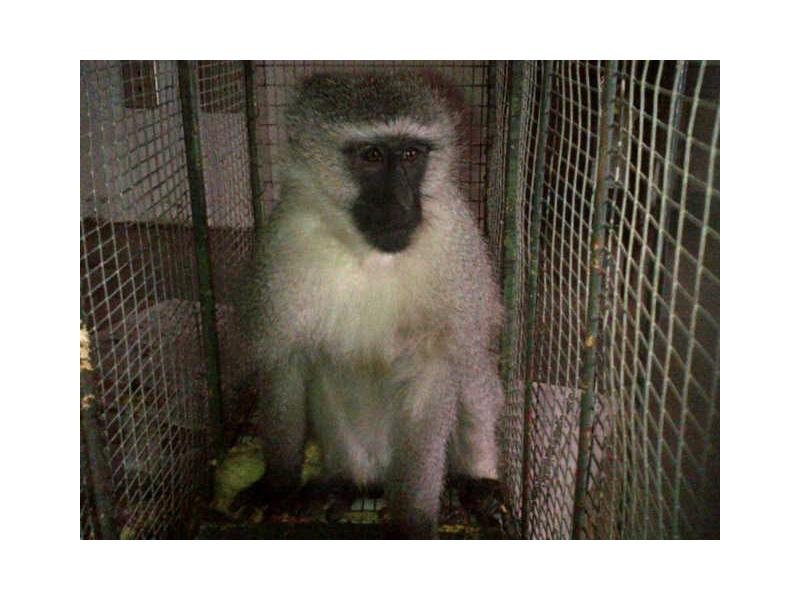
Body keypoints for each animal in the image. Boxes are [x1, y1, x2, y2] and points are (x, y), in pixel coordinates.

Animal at [237, 72, 505, 538]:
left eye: (412, 154)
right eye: (372, 155)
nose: (401, 204)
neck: (370, 254)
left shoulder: (455, 244)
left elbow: (435, 375)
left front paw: (412, 522)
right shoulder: (286, 241)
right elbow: (286, 362)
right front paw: (276, 484)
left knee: (470, 364)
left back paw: (474, 480)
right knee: (323, 363)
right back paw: (347, 482)